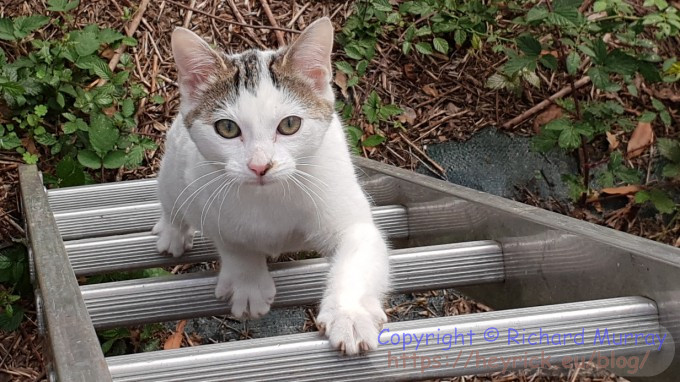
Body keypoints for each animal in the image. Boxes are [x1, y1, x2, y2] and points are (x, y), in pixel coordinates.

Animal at [152, 17, 390, 352]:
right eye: (227, 128)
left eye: (290, 124)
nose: (259, 166)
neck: (269, 196)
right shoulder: (210, 202)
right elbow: (234, 243)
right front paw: (248, 283)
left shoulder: (345, 204)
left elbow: (357, 249)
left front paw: (349, 315)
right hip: (176, 166)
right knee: (172, 198)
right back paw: (172, 231)